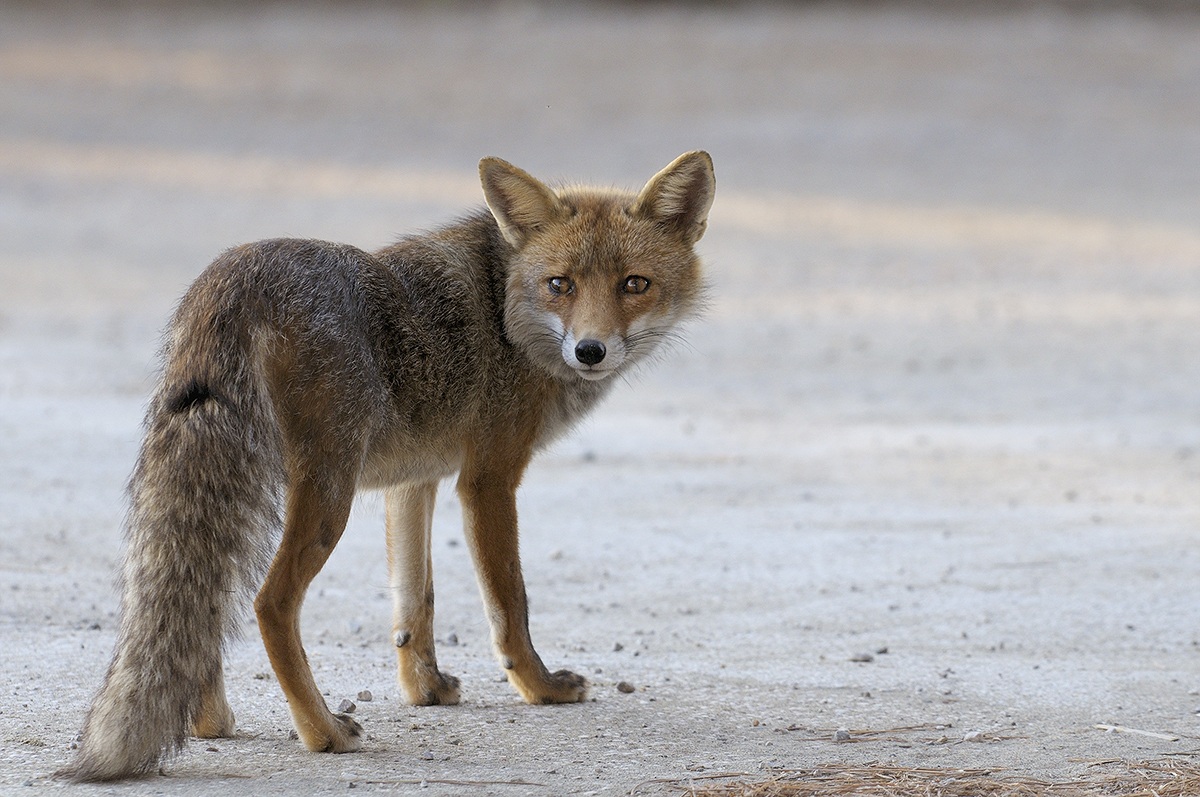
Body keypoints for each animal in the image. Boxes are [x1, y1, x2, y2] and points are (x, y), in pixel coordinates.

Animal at [60, 151, 715, 781]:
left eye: (635, 283)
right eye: (561, 284)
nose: (590, 350)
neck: (505, 311)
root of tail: (238, 273)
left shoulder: (415, 480)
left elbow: (414, 601)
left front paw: (425, 688)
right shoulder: (488, 480)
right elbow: (510, 607)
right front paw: (541, 688)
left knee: (204, 604)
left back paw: (208, 722)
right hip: (328, 494)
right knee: (269, 604)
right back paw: (322, 731)